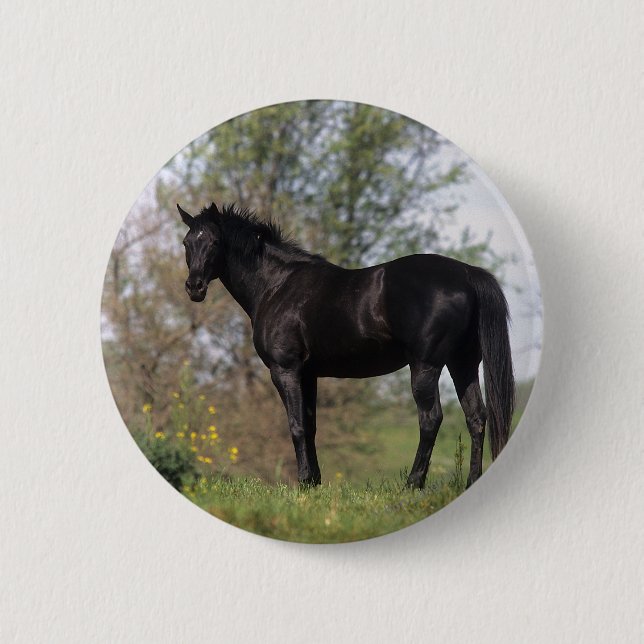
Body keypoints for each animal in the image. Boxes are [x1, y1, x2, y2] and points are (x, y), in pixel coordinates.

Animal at [177, 202, 514, 489]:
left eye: (214, 242)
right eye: (186, 243)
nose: (194, 287)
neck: (277, 286)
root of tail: (467, 274)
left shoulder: (285, 370)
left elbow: (296, 425)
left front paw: (303, 483)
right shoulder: (308, 374)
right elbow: (310, 425)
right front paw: (314, 483)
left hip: (425, 366)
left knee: (431, 420)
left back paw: (413, 483)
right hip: (463, 364)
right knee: (476, 418)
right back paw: (471, 481)